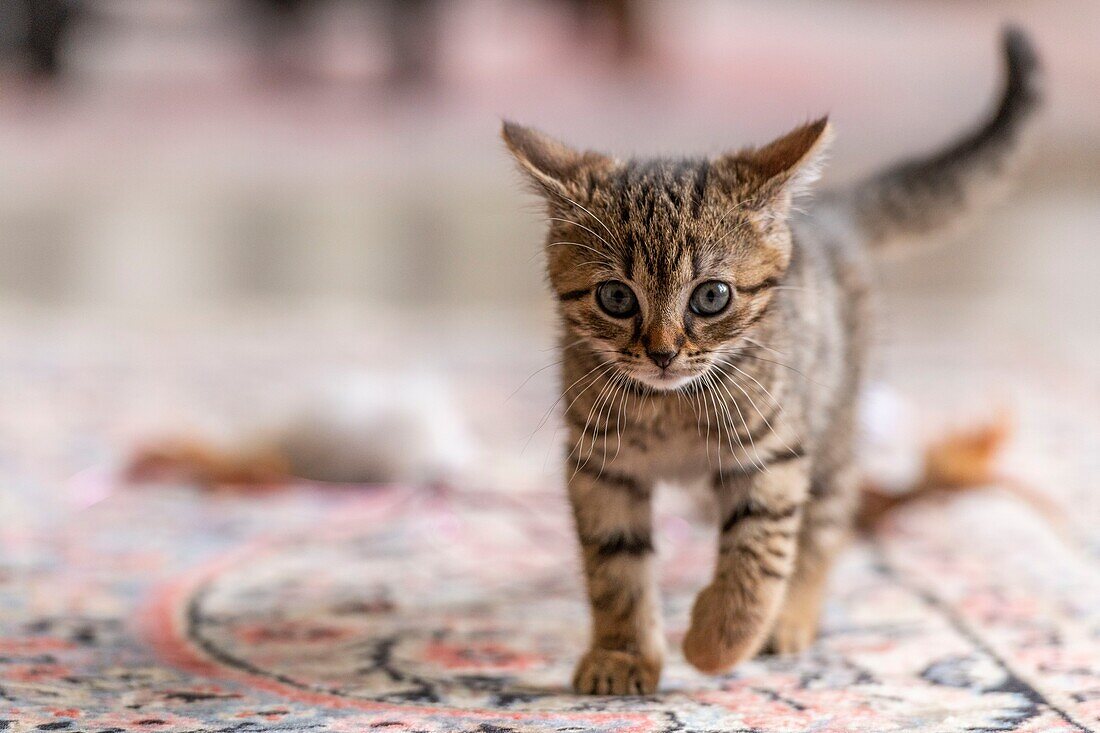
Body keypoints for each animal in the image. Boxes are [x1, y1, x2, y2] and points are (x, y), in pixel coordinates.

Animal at [506, 27, 1038, 691]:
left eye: (711, 297)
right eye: (615, 298)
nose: (662, 353)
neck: (671, 407)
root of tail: (829, 213)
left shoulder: (772, 449)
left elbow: (759, 558)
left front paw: (716, 641)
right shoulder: (602, 466)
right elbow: (614, 564)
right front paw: (621, 655)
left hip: (834, 426)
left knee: (825, 526)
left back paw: (789, 618)